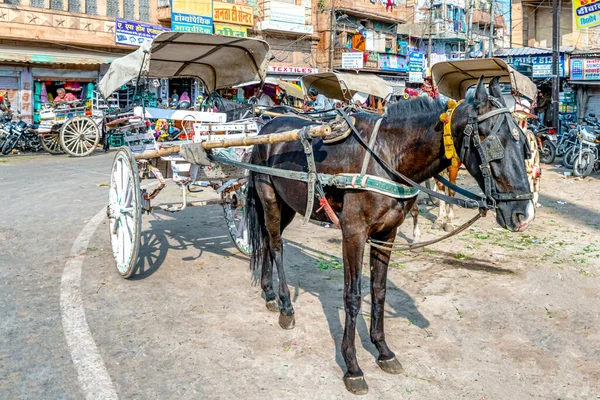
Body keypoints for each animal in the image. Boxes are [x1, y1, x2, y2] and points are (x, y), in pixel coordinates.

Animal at [244, 77, 536, 394]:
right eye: (493, 142)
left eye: (524, 144)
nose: (524, 214)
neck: (388, 157)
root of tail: (266, 128)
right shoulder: (353, 234)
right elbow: (353, 296)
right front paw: (352, 366)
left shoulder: (387, 234)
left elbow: (379, 291)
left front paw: (383, 350)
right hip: (270, 199)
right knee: (276, 245)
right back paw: (286, 306)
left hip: (287, 205)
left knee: (268, 241)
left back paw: (269, 292)